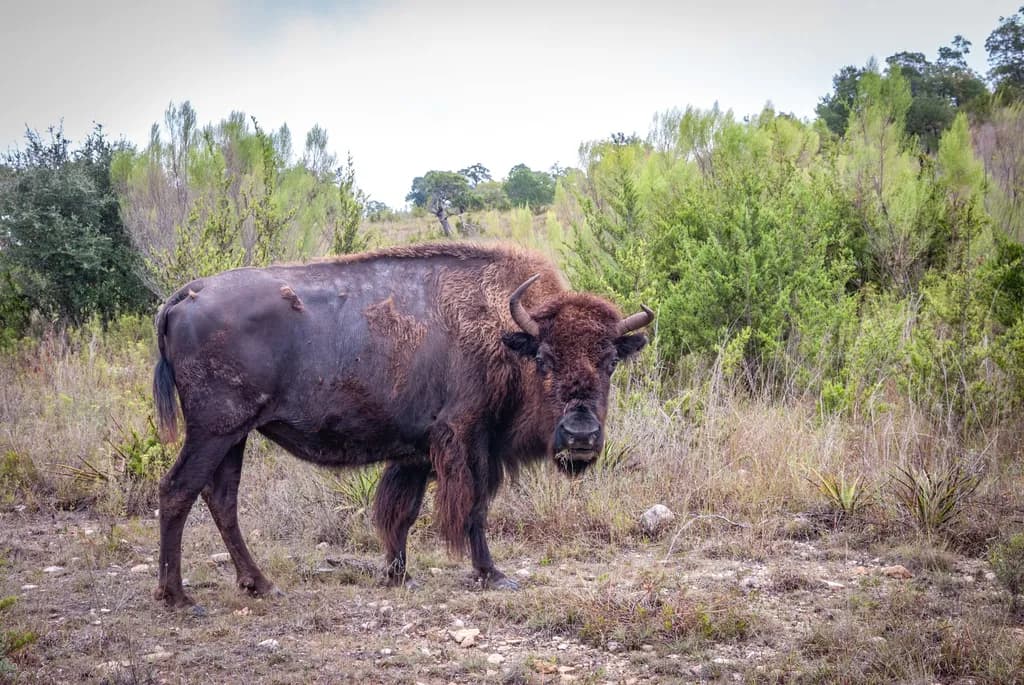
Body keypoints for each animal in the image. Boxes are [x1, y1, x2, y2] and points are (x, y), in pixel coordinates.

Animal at [152, 241, 653, 607]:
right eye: (544, 360)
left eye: (610, 362)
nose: (581, 436)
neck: (505, 334)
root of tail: (185, 294)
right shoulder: (468, 442)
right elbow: (473, 509)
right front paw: (491, 574)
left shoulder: (417, 453)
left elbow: (402, 512)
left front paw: (398, 574)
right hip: (214, 431)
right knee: (178, 490)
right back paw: (179, 597)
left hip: (233, 436)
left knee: (221, 499)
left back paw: (260, 584)